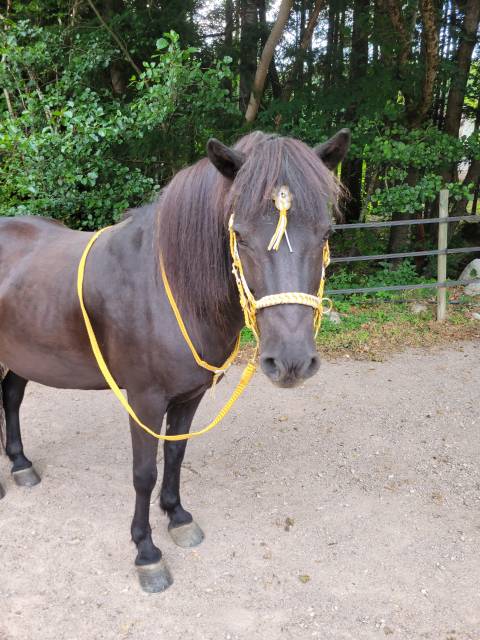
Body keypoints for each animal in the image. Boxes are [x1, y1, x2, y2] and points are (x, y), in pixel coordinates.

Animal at [0, 129, 350, 592]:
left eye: (325, 233)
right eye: (240, 234)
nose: (291, 360)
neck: (169, 287)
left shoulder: (189, 395)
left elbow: (176, 454)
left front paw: (178, 516)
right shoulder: (144, 399)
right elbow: (143, 472)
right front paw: (146, 552)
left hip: (24, 355)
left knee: (11, 396)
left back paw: (20, 464)